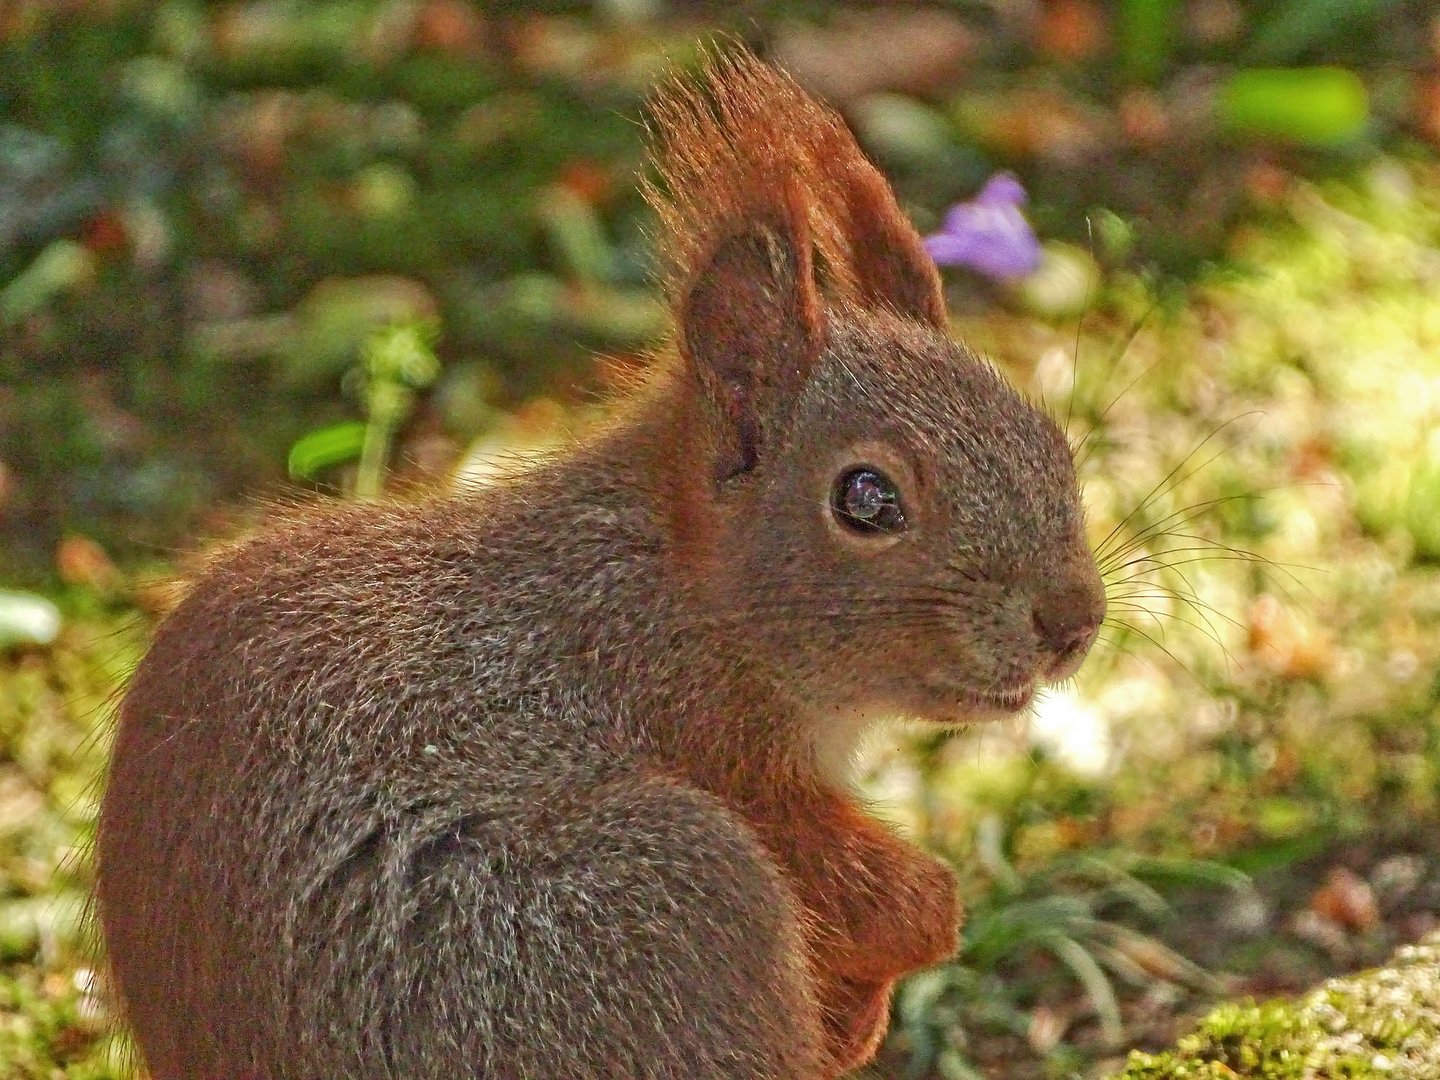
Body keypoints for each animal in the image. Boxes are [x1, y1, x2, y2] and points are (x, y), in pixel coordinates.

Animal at [95, 50, 1105, 1080]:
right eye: (867, 499)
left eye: (1045, 435)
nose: (1073, 620)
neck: (675, 591)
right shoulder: (704, 737)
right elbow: (837, 868)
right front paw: (920, 925)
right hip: (644, 900)